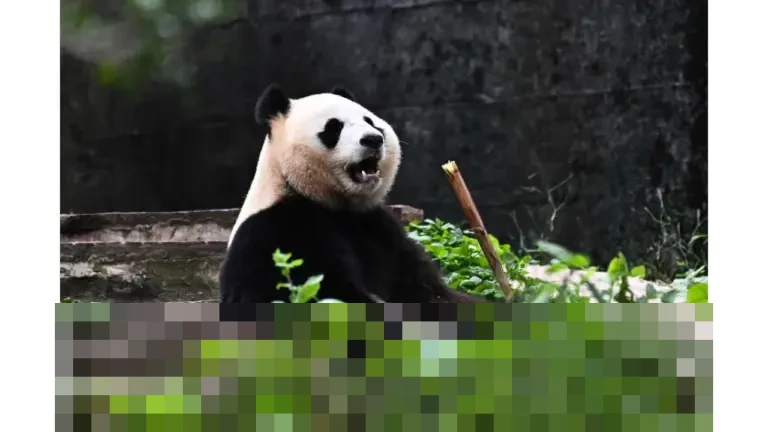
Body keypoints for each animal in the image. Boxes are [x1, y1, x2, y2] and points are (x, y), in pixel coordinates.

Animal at [219, 84, 482, 303]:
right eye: (333, 127)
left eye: (371, 122)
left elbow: (428, 289)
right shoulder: (282, 231)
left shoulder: (381, 227)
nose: (373, 139)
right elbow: (329, 291)